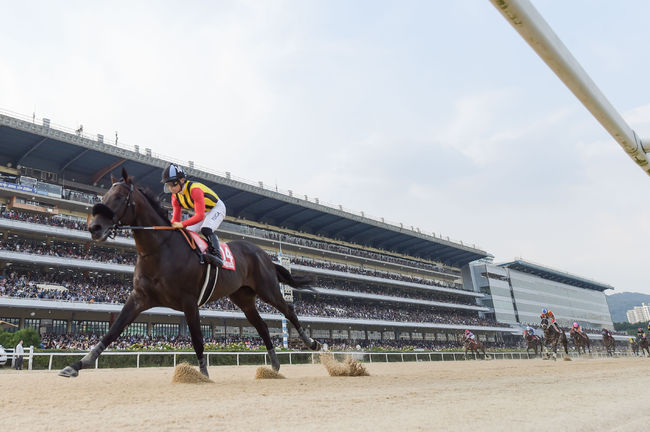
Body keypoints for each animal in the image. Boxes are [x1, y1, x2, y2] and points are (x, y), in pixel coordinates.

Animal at [60, 169, 318, 378]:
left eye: (120, 197)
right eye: (103, 197)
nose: (94, 227)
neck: (159, 249)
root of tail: (263, 253)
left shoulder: (189, 301)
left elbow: (197, 338)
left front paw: (203, 374)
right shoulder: (140, 297)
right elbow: (113, 331)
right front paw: (77, 365)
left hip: (267, 289)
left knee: (289, 310)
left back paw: (312, 343)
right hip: (243, 298)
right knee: (262, 326)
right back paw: (274, 366)